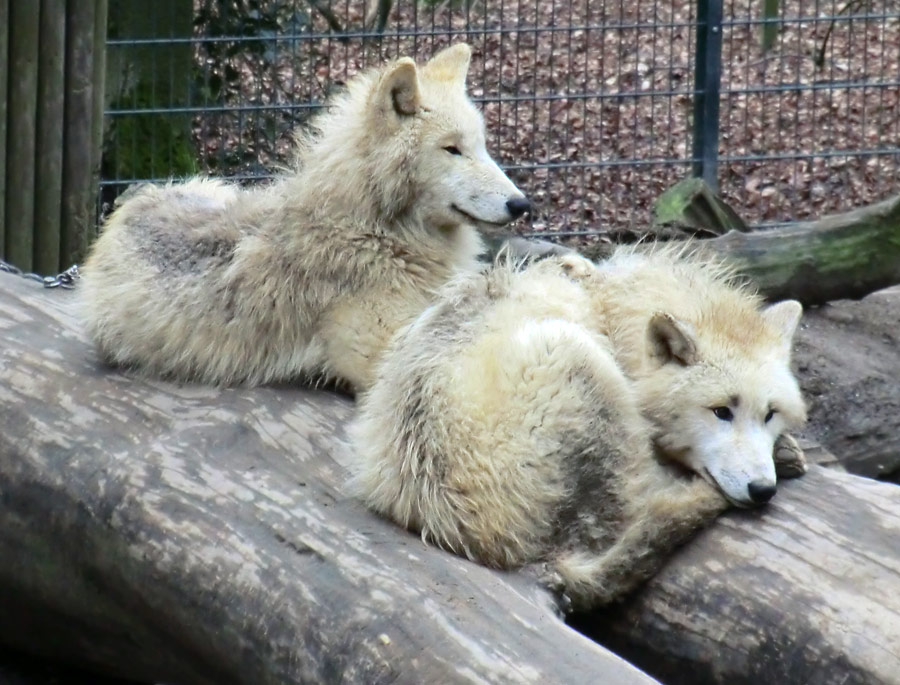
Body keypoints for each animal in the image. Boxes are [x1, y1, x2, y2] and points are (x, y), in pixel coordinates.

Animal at [81, 44, 528, 390]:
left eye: (482, 146)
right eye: (452, 149)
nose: (521, 205)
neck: (373, 231)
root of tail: (132, 203)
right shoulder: (379, 355)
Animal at [348, 247, 804, 608]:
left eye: (770, 414)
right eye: (721, 411)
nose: (762, 490)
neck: (609, 309)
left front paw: (785, 449)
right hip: (571, 350)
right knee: (635, 512)